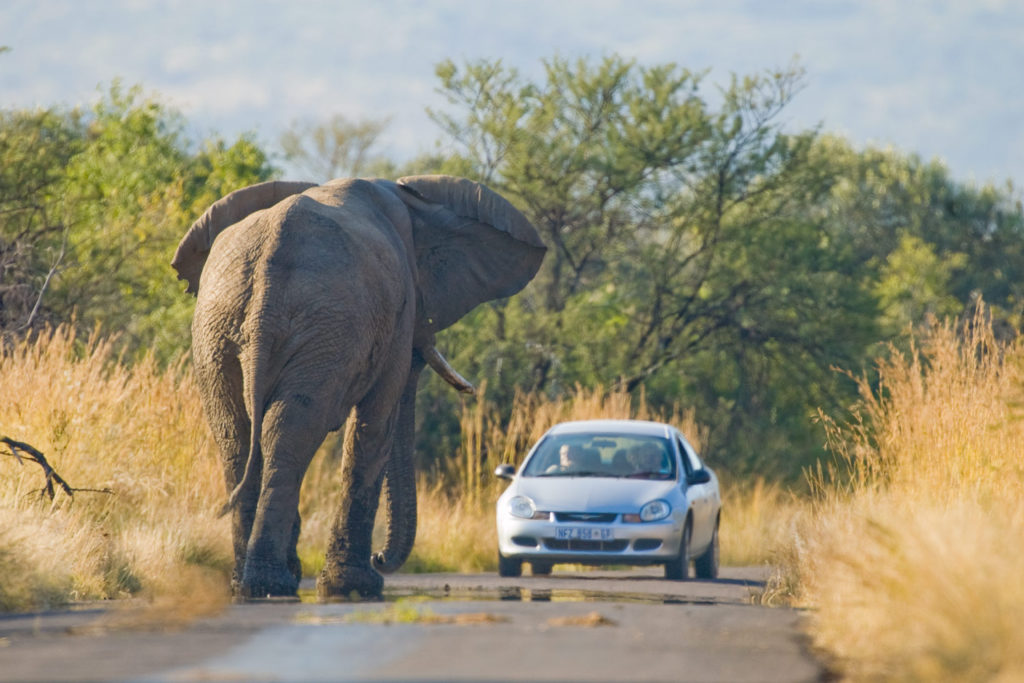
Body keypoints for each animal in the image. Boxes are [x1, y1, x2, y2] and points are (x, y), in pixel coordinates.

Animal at [172, 176, 548, 598]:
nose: (380, 558)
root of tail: (267, 273)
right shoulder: (396, 315)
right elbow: (376, 422)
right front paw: (357, 586)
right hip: (313, 328)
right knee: (288, 431)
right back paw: (271, 583)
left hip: (220, 330)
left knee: (236, 434)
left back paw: (251, 584)